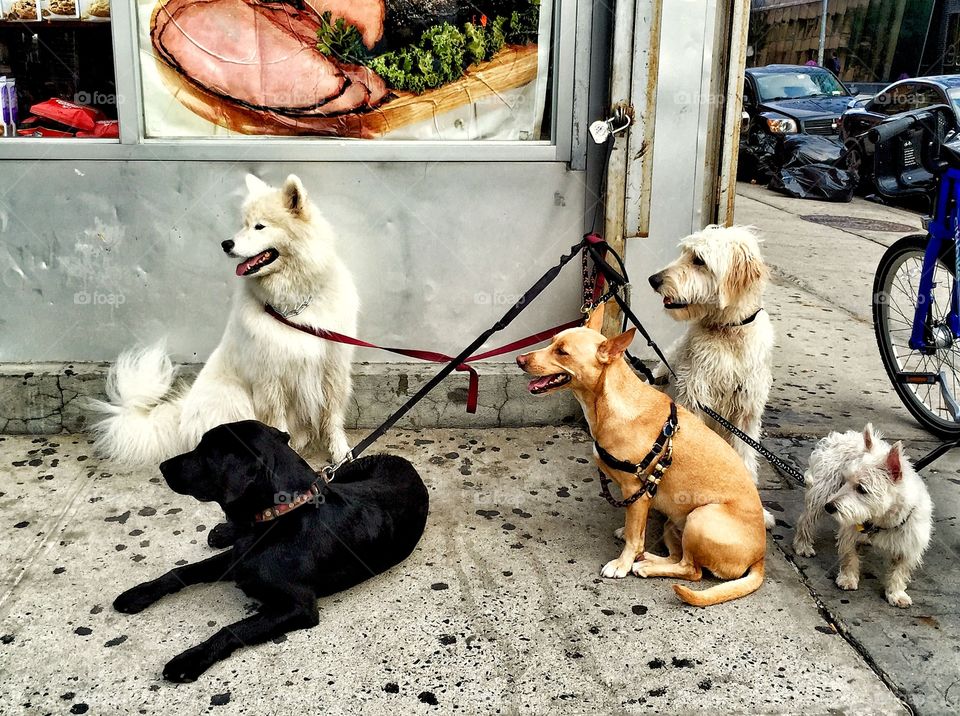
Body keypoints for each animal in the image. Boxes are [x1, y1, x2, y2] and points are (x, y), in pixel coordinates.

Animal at [91, 173, 356, 464]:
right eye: (243, 225)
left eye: (260, 226)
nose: (226, 244)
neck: (294, 309)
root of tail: (181, 417)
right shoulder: (270, 380)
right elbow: (277, 423)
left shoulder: (332, 367)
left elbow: (332, 416)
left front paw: (340, 451)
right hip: (232, 399)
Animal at [113, 420, 428, 684]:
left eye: (204, 453)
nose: (163, 466)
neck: (278, 516)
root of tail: (403, 461)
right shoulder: (236, 559)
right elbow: (181, 570)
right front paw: (139, 594)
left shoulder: (298, 607)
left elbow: (232, 629)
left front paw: (190, 659)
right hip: (337, 476)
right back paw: (222, 532)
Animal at [516, 304, 764, 608]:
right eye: (552, 341)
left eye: (562, 352)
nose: (519, 359)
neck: (609, 402)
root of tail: (760, 556)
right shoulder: (638, 498)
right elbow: (636, 528)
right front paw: (629, 539)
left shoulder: (638, 490)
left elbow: (635, 537)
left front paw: (622, 563)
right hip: (675, 521)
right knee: (677, 556)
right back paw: (648, 559)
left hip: (701, 517)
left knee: (692, 570)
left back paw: (644, 565)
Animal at [644, 228, 772, 524]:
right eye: (684, 252)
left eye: (699, 260)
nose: (653, 279)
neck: (728, 333)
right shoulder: (694, 399)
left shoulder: (747, 415)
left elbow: (746, 459)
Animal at [792, 426, 932, 608]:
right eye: (845, 480)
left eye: (861, 489)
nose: (829, 507)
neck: (882, 521)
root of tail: (842, 436)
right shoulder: (850, 530)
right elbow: (850, 556)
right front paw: (848, 578)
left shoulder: (909, 545)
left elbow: (899, 571)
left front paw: (896, 593)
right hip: (822, 492)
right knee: (806, 520)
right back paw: (803, 545)